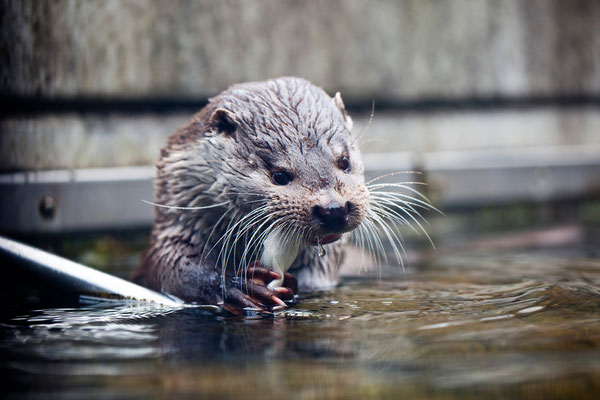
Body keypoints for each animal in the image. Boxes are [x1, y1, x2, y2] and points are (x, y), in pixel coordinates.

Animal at [132, 76, 422, 312]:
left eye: (344, 161)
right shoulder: (178, 223)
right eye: (279, 176)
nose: (333, 209)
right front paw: (239, 285)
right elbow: (171, 267)